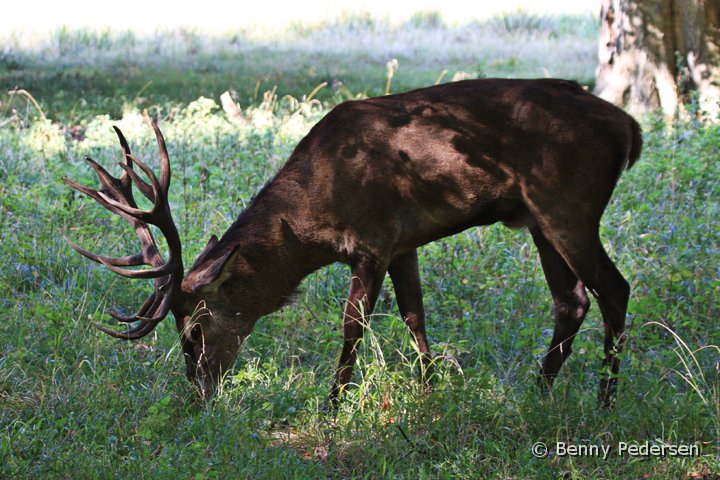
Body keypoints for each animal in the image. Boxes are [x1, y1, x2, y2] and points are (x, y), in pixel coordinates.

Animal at [64, 79, 644, 404]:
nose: (199, 393)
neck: (315, 216)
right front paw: (430, 392)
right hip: (537, 218)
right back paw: (536, 393)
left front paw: (333, 403)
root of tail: (630, 130)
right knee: (571, 300)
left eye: (194, 330)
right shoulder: (406, 240)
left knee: (614, 288)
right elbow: (414, 315)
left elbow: (353, 326)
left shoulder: (373, 237)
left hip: (567, 201)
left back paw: (605, 401)